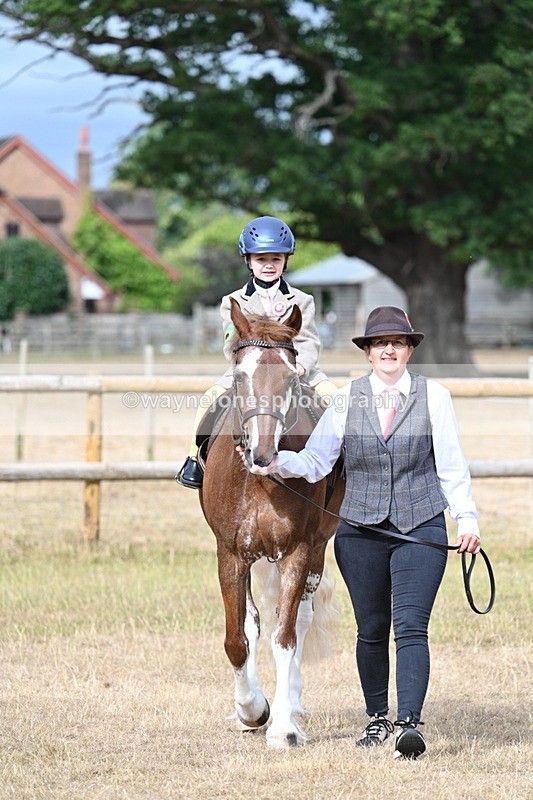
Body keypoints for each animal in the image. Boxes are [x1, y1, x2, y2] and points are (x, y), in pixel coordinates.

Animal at [199, 298, 344, 748]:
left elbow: (286, 637)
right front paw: (251, 709)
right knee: (254, 623)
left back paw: (292, 706)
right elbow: (237, 638)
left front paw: (282, 726)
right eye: (240, 374)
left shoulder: (298, 551)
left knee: (299, 620)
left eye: (290, 376)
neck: (260, 480)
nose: (262, 454)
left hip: (316, 550)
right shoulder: (230, 554)